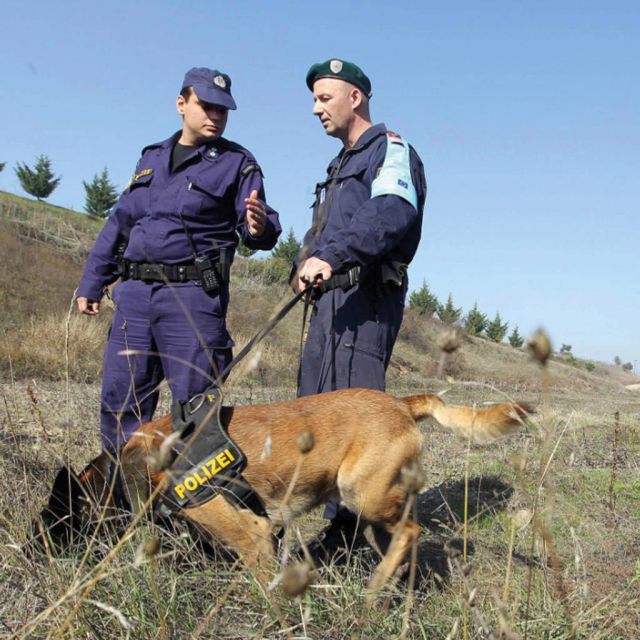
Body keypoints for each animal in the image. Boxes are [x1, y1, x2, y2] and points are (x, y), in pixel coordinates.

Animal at [37, 388, 532, 592]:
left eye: (55, 522)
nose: (32, 552)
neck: (128, 468)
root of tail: (402, 403)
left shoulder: (255, 539)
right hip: (372, 508)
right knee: (403, 538)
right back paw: (394, 587)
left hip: (361, 494)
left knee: (411, 531)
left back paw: (375, 589)